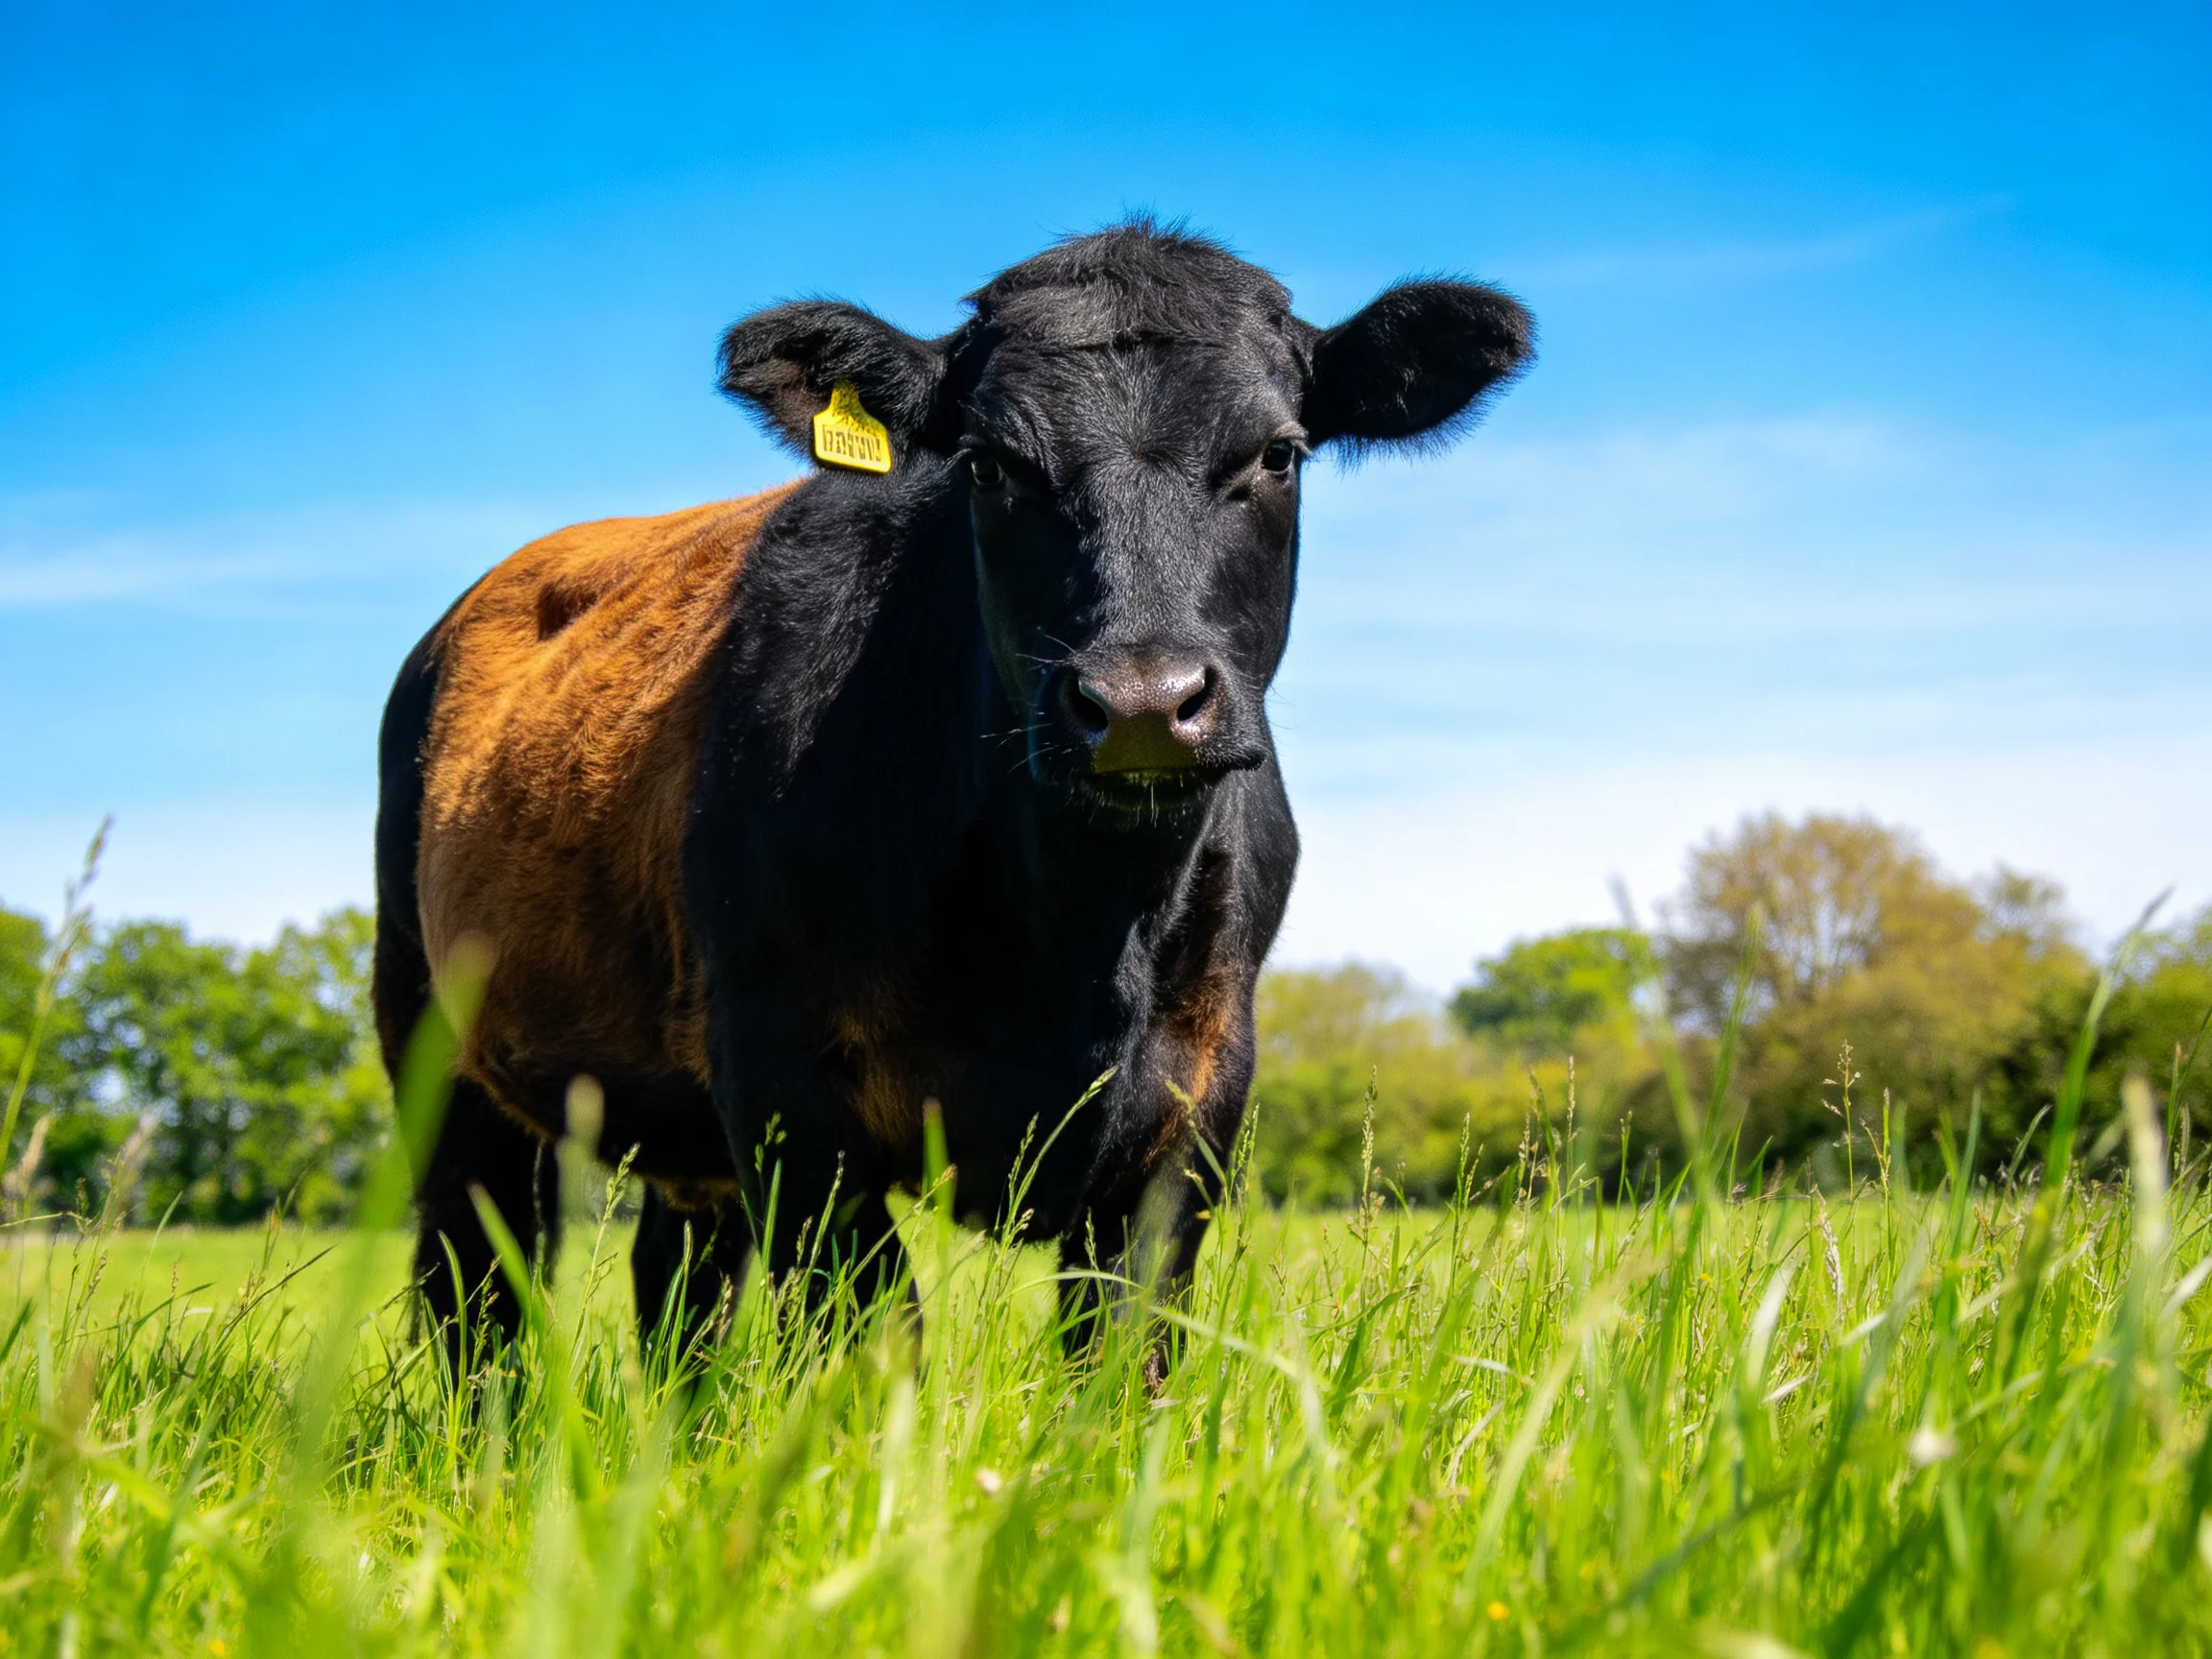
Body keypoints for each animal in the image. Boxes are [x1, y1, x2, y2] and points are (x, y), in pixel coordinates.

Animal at [372, 221, 1532, 1368]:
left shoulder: (1197, 1097)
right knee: (476, 1287)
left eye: (1278, 454)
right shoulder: (784, 1084)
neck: (1078, 934)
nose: (1142, 702)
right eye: (990, 464)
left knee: (675, 1286)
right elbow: (877, 1334)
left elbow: (1121, 1356)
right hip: (434, 1039)